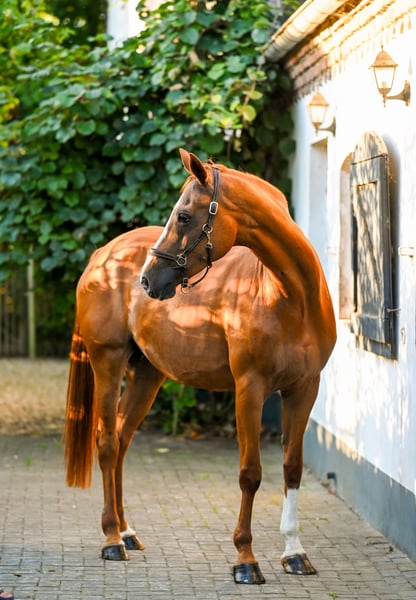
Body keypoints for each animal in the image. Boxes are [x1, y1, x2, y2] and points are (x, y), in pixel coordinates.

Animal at [64, 148, 336, 584]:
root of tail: (103, 256)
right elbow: (250, 473)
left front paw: (295, 553)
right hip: (107, 362)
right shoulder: (250, 389)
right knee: (106, 444)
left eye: (184, 216)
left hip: (147, 374)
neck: (291, 296)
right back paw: (111, 539)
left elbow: (292, 467)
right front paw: (245, 559)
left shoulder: (304, 388)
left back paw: (127, 532)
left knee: (121, 440)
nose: (148, 280)